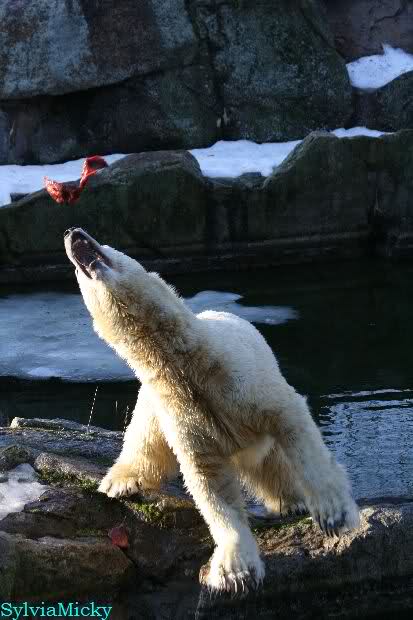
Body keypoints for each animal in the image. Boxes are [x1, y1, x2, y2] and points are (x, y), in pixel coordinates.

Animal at [64, 227, 359, 593]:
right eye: (77, 272)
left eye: (106, 245)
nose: (72, 232)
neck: (188, 362)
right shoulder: (180, 410)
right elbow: (209, 482)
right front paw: (235, 570)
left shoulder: (241, 382)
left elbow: (291, 421)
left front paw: (333, 515)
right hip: (150, 405)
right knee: (145, 438)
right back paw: (119, 482)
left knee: (272, 459)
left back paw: (291, 502)